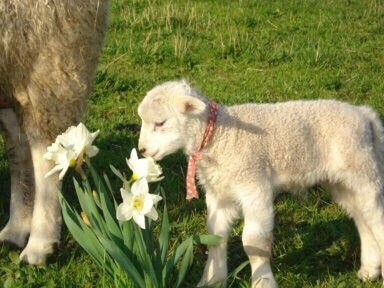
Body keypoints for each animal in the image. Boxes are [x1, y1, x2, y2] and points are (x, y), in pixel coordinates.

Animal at [137, 80, 384, 288]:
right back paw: (369, 271)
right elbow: (215, 236)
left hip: (363, 172)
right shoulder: (220, 194)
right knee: (362, 219)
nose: (142, 150)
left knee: (375, 217)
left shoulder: (254, 186)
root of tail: (365, 115)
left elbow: (255, 243)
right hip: (344, 182)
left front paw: (263, 282)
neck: (221, 137)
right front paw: (213, 280)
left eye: (160, 123)